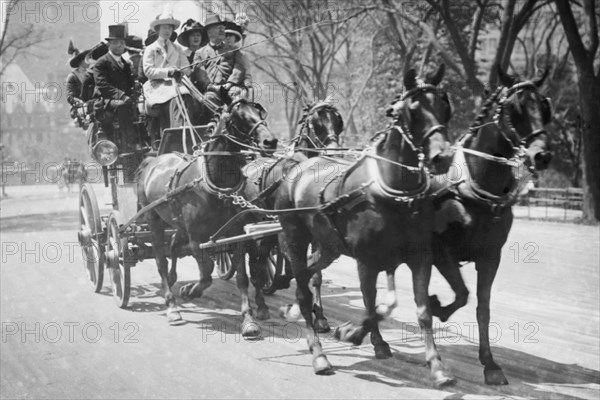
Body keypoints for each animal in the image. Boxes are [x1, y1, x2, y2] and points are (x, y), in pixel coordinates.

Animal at [135, 99, 276, 332]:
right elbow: (207, 271)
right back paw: (172, 306)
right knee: (160, 260)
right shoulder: (196, 238)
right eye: (239, 118)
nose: (270, 141)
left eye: (259, 113)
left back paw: (173, 279)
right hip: (154, 220)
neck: (217, 186)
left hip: (178, 223)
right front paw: (191, 290)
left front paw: (248, 319)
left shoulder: (236, 235)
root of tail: (152, 161)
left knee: (173, 246)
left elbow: (242, 277)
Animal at [241, 101, 344, 332]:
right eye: (316, 124)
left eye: (338, 122)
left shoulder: (317, 236)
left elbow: (316, 276)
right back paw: (261, 305)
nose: (334, 152)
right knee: (255, 264)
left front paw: (320, 317)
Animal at [274, 66, 454, 388]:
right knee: (304, 288)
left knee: (309, 274)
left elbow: (420, 311)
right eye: (412, 111)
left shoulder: (420, 256)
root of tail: (296, 169)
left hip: (328, 244)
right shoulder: (366, 261)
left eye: (445, 106)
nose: (442, 156)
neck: (394, 191)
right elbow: (371, 305)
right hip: (294, 237)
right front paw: (354, 334)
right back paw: (318, 354)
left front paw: (437, 366)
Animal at [426, 65, 552, 384]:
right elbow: (460, 294)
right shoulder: (440, 251)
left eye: (544, 107)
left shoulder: (490, 256)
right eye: (515, 108)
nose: (542, 155)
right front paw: (437, 308)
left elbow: (482, 307)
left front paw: (490, 364)